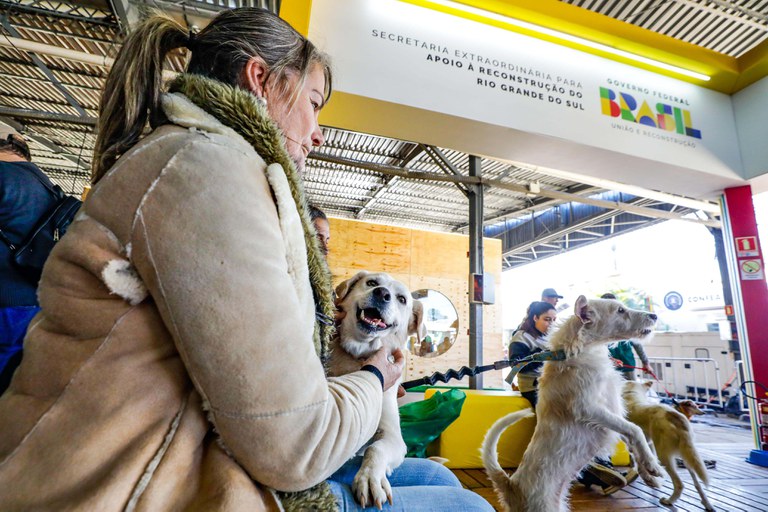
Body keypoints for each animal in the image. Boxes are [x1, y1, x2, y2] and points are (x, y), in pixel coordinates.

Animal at [326, 272, 424, 508]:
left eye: (402, 299)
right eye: (371, 282)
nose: (382, 294)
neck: (358, 354)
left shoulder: (393, 436)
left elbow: (375, 448)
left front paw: (370, 478)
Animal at [484, 294, 664, 510]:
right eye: (620, 310)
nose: (654, 315)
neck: (581, 350)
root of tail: (511, 487)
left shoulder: (609, 415)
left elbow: (631, 438)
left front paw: (648, 474)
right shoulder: (590, 410)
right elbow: (634, 430)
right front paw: (653, 465)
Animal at [620, 380, 716, 512]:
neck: (632, 393)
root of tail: (675, 417)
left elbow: (639, 459)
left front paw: (649, 476)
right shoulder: (647, 443)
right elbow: (645, 458)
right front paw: (649, 474)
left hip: (665, 456)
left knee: (679, 484)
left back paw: (669, 501)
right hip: (688, 457)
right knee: (697, 484)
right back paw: (707, 504)